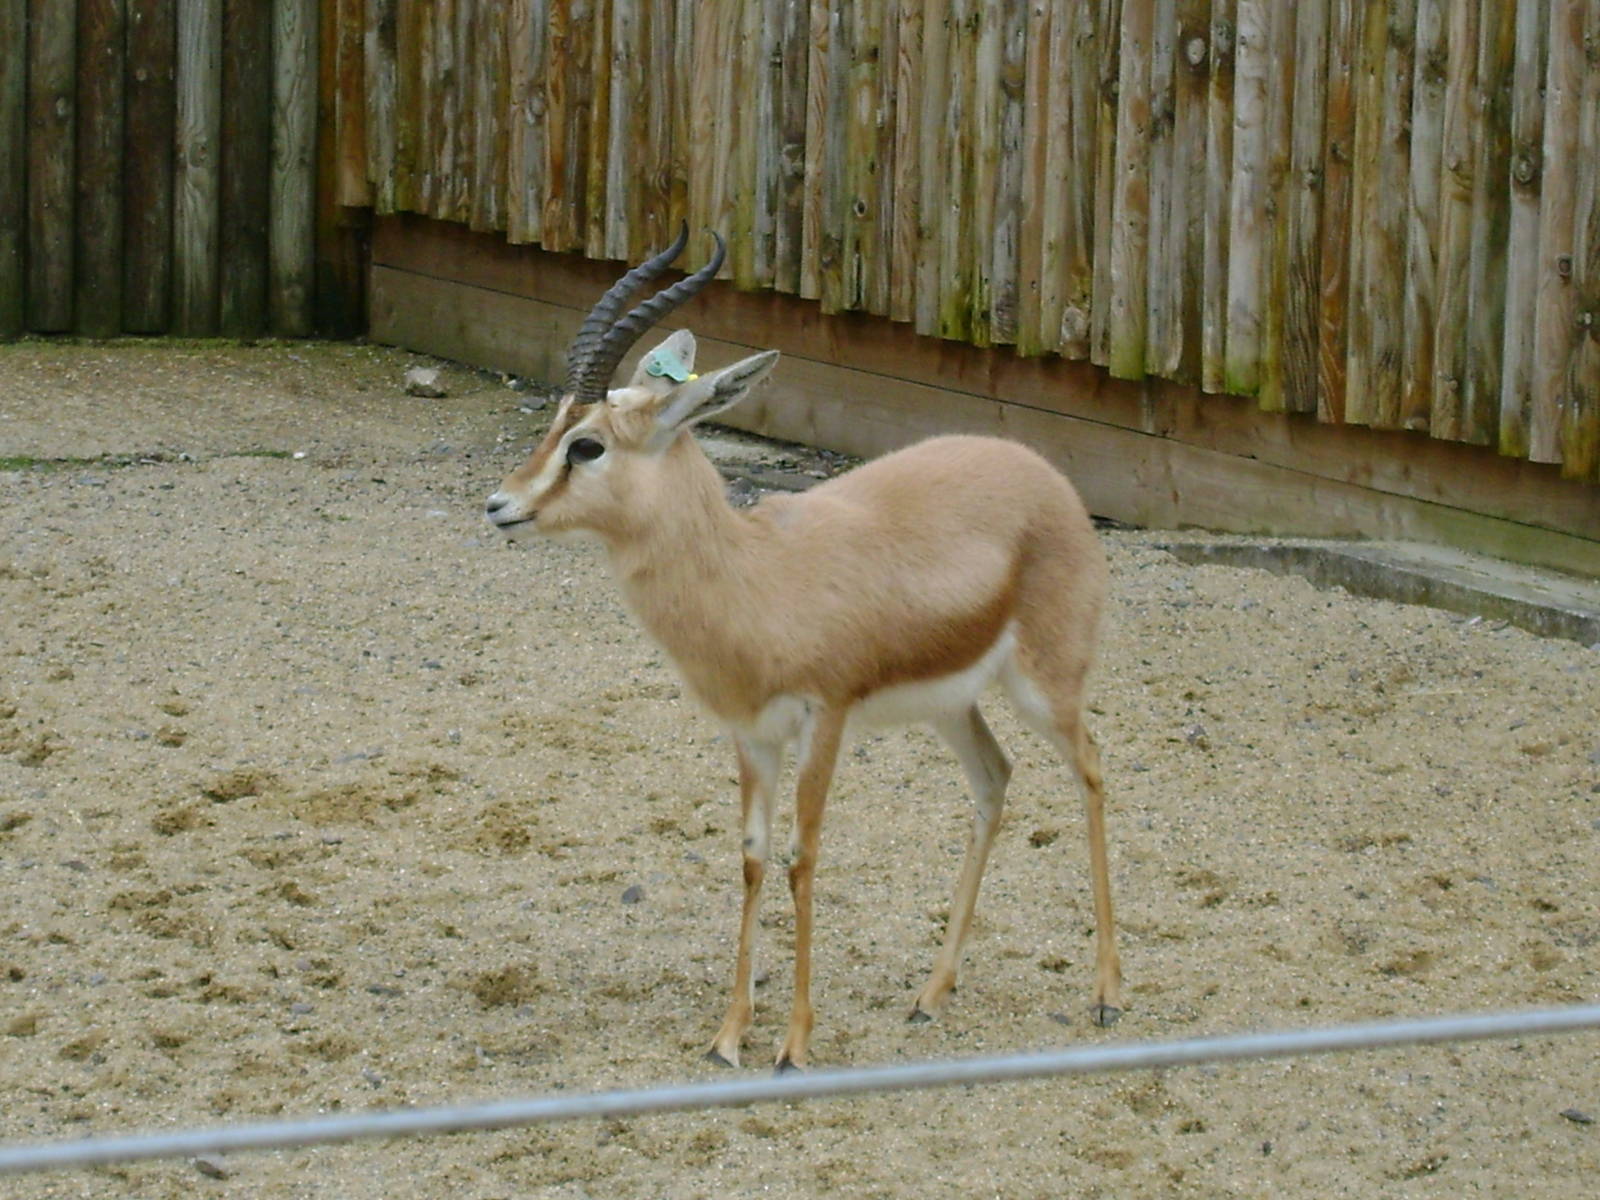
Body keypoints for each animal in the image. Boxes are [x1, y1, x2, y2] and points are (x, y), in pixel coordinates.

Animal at [485, 226, 1122, 1070]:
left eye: (586, 447)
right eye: (555, 423)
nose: (499, 506)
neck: (756, 576)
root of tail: (1041, 473)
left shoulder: (826, 720)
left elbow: (802, 855)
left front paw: (793, 1043)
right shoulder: (751, 735)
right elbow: (754, 855)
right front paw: (729, 1035)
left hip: (1047, 685)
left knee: (1090, 771)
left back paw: (1108, 993)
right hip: (951, 706)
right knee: (996, 778)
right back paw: (931, 993)